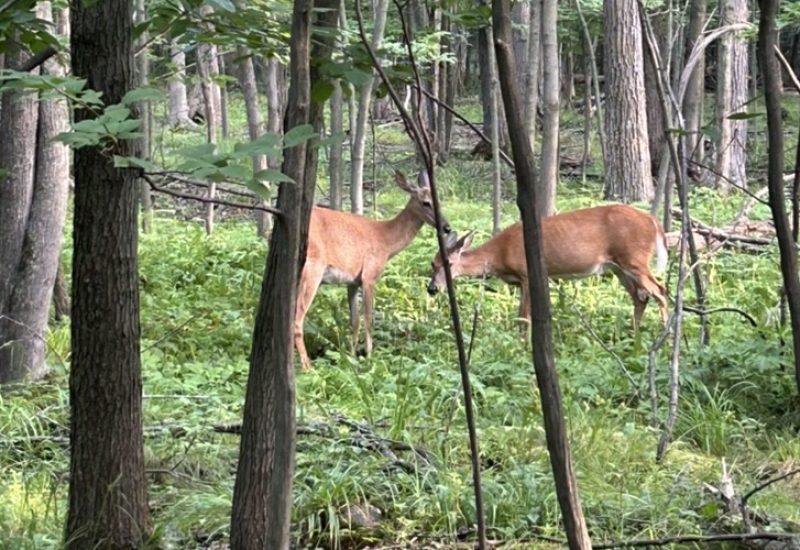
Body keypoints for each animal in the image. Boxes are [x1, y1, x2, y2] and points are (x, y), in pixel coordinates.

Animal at [296, 172, 450, 370]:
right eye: (425, 202)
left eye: (438, 201)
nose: (447, 227)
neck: (385, 240)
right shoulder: (369, 276)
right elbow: (369, 319)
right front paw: (370, 358)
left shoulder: (352, 281)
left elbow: (355, 321)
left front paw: (351, 358)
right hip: (312, 269)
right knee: (297, 317)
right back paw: (307, 367)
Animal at [428, 206, 672, 336]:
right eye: (433, 263)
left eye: (448, 264)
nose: (432, 288)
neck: (500, 254)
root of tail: (653, 221)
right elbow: (521, 315)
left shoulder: (527, 274)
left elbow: (524, 316)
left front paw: (522, 346)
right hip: (618, 267)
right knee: (641, 296)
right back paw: (632, 335)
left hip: (634, 259)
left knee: (660, 291)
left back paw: (664, 335)